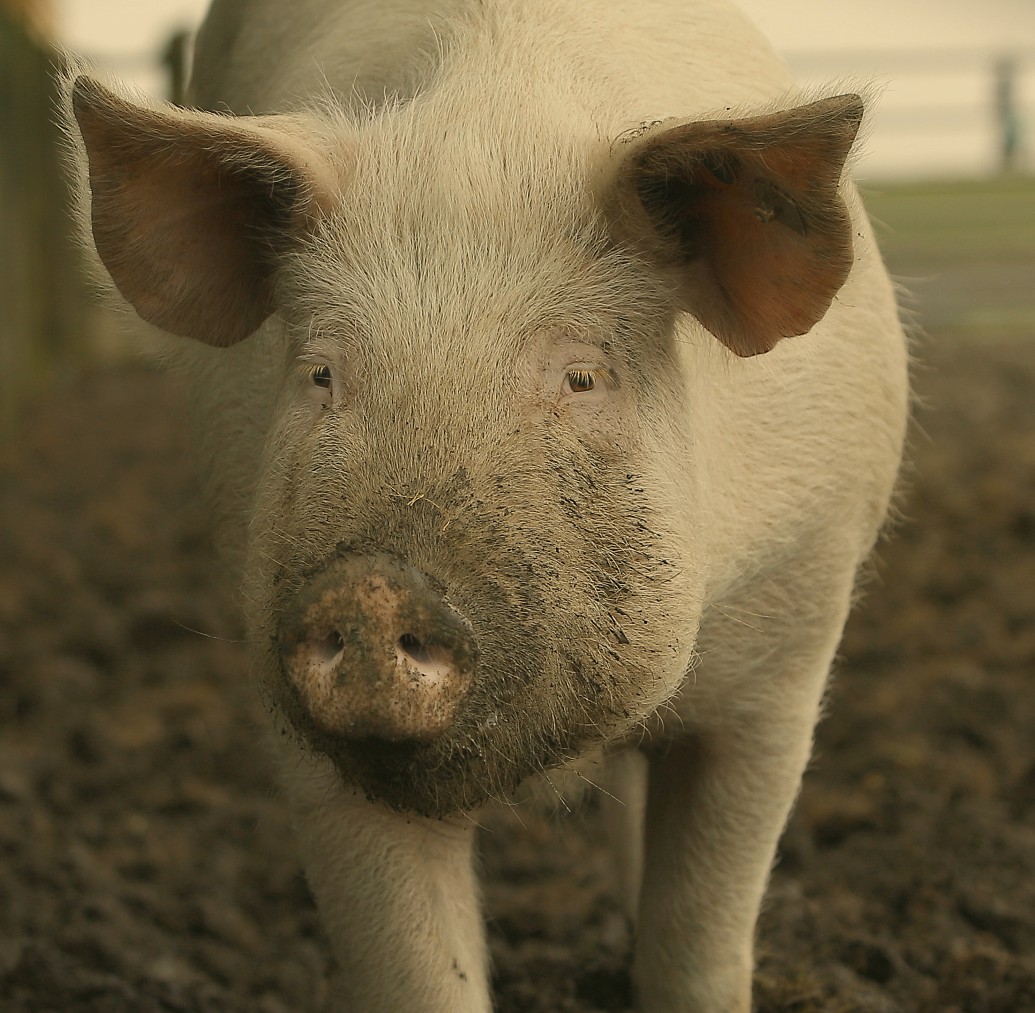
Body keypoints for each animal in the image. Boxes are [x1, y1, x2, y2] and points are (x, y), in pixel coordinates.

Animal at [66, 0, 906, 1009]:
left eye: (582, 376)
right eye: (322, 374)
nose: (373, 587)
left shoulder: (787, 641)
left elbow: (701, 940)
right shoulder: (290, 695)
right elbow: (416, 969)